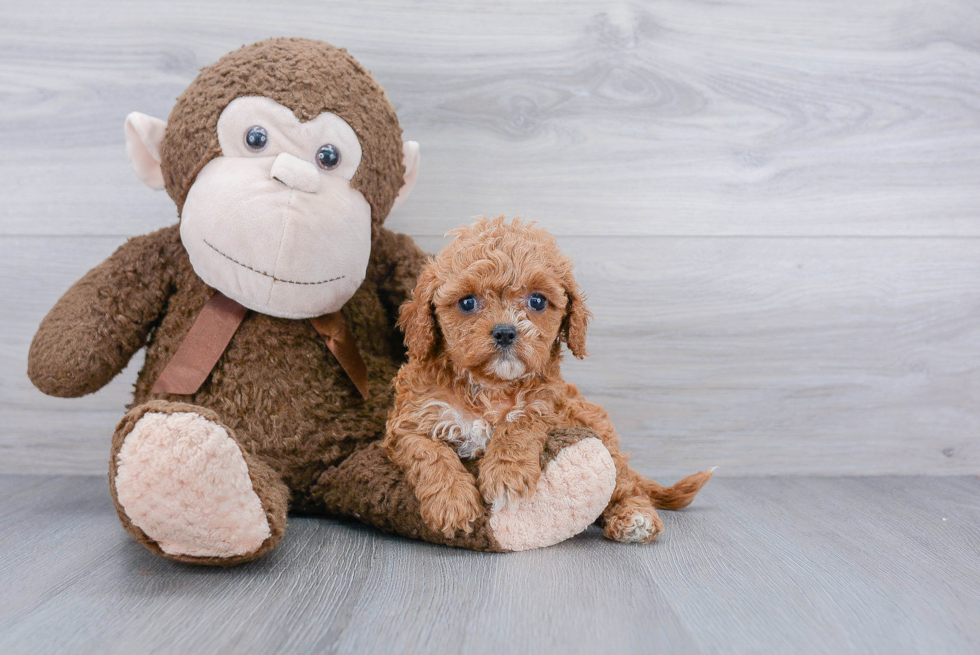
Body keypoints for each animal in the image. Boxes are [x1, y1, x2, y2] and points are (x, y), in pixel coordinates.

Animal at [384, 215, 712, 544]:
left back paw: (635, 517)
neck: (491, 386)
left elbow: (520, 423)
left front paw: (506, 474)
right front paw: (452, 502)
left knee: (626, 484)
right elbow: (430, 454)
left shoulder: (546, 405)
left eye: (537, 301)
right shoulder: (409, 421)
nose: (505, 332)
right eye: (466, 303)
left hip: (599, 435)